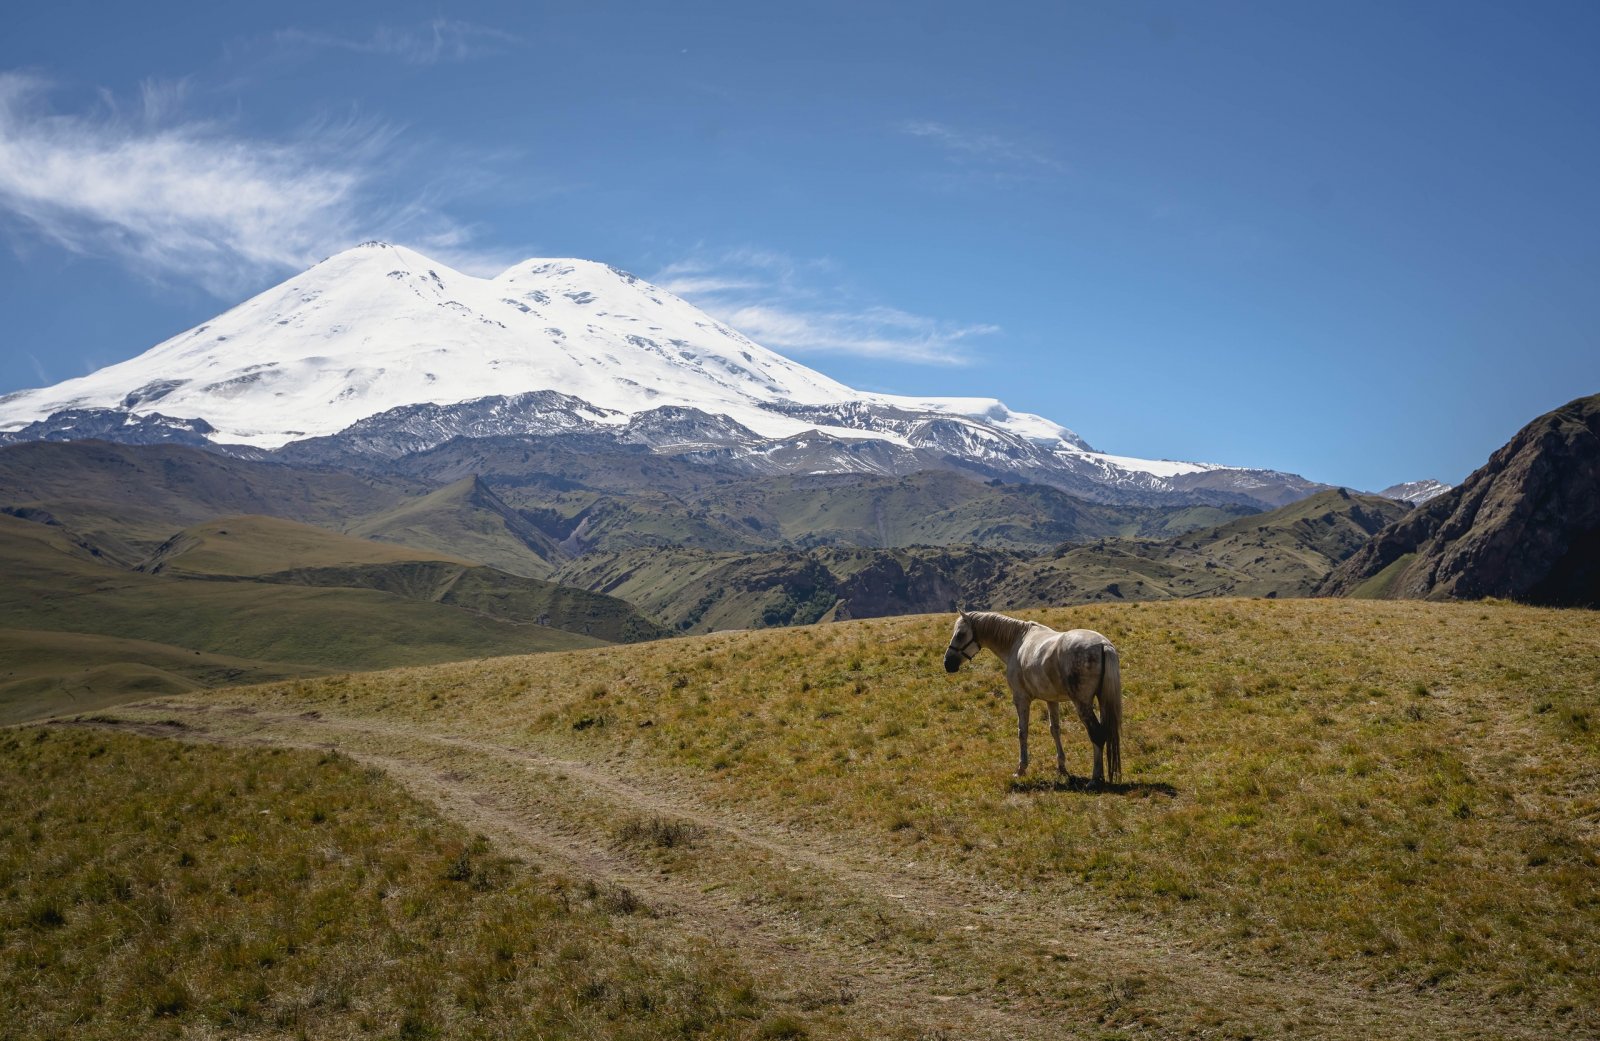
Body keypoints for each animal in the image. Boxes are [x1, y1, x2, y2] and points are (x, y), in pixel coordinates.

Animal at [934, 610, 1126, 780]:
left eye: (960, 634)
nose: (947, 663)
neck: (1017, 640)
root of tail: (1102, 645)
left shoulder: (1021, 699)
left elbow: (1022, 731)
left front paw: (1021, 769)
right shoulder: (1051, 700)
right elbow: (1055, 730)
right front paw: (1062, 767)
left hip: (1082, 704)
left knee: (1097, 734)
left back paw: (1095, 777)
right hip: (1102, 701)